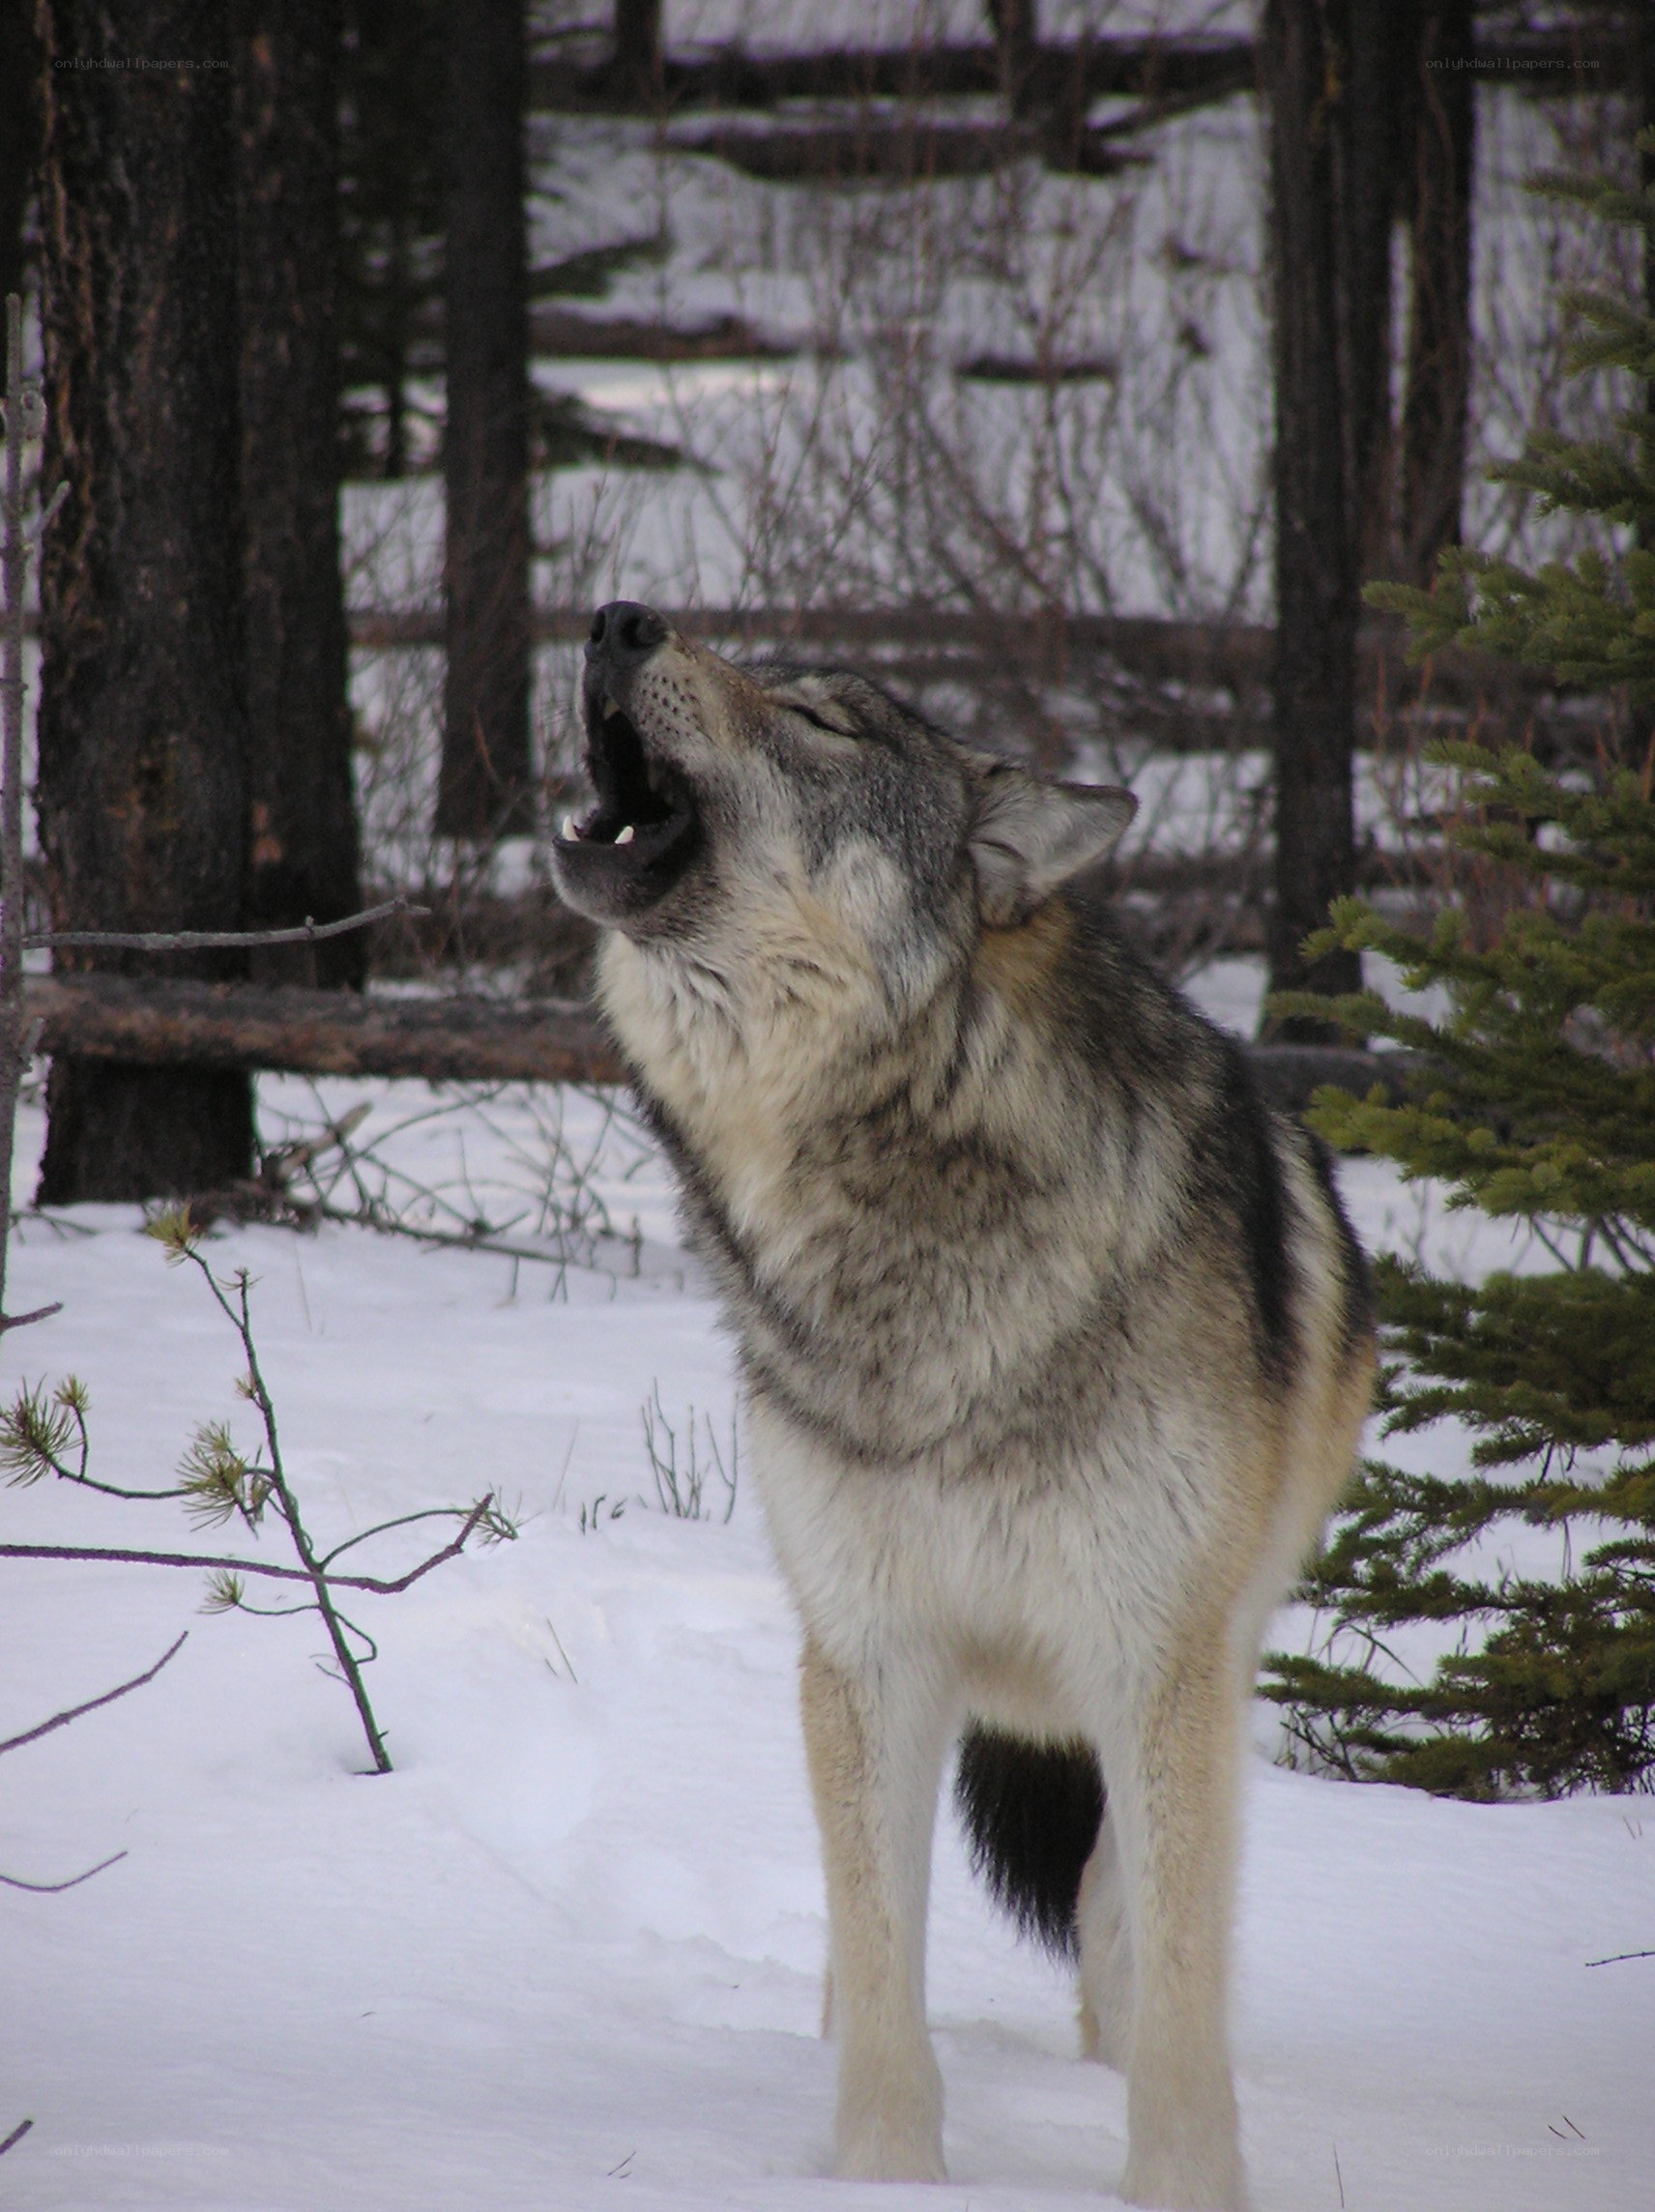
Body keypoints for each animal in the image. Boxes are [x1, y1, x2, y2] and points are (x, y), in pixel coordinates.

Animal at [551, 602, 1374, 2212]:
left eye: (819, 717)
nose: (617, 619)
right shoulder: (869, 1650)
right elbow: (882, 1976)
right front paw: (883, 2175)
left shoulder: (1152, 1661)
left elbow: (1177, 1995)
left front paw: (1183, 2184)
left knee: (1120, 1919)